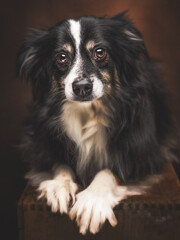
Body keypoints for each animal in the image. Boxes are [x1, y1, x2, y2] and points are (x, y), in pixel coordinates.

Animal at [15, 12, 177, 234]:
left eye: (100, 52)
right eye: (61, 57)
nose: (82, 87)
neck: (88, 112)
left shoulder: (144, 154)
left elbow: (111, 169)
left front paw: (93, 200)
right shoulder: (42, 144)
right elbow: (60, 161)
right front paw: (59, 186)